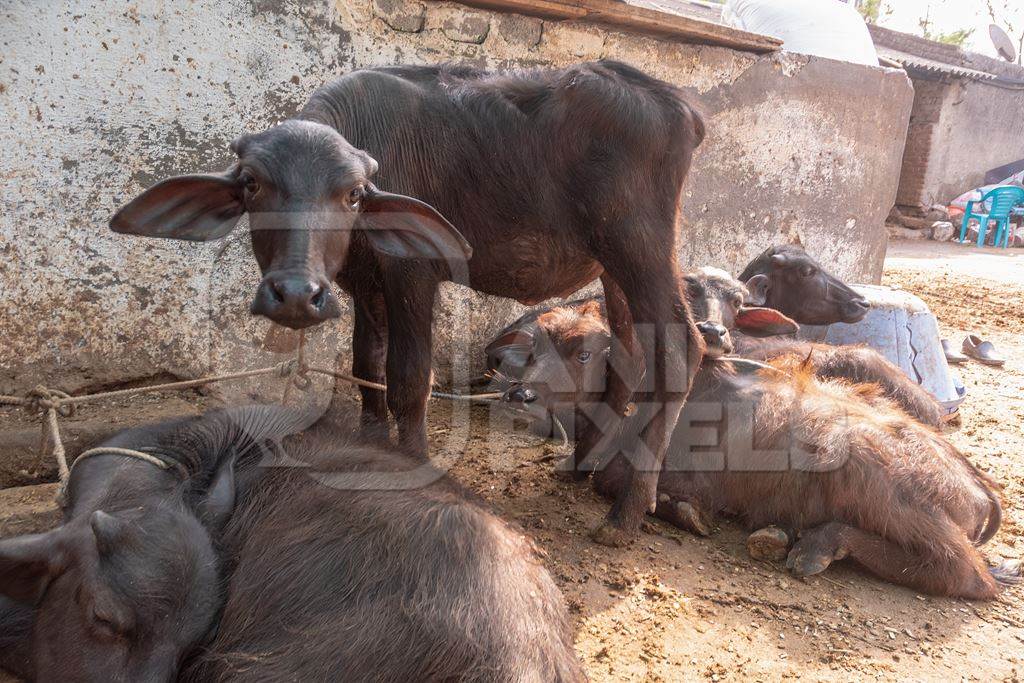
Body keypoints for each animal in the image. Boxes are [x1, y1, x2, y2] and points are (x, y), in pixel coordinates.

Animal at [110, 61, 704, 548]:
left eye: (352, 193)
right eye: (253, 184)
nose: (297, 293)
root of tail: (674, 102)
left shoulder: (412, 274)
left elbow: (408, 378)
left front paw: (414, 463)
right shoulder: (364, 284)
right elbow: (366, 365)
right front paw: (373, 445)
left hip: (641, 246)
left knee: (680, 350)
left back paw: (626, 513)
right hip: (611, 266)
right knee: (628, 354)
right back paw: (582, 464)